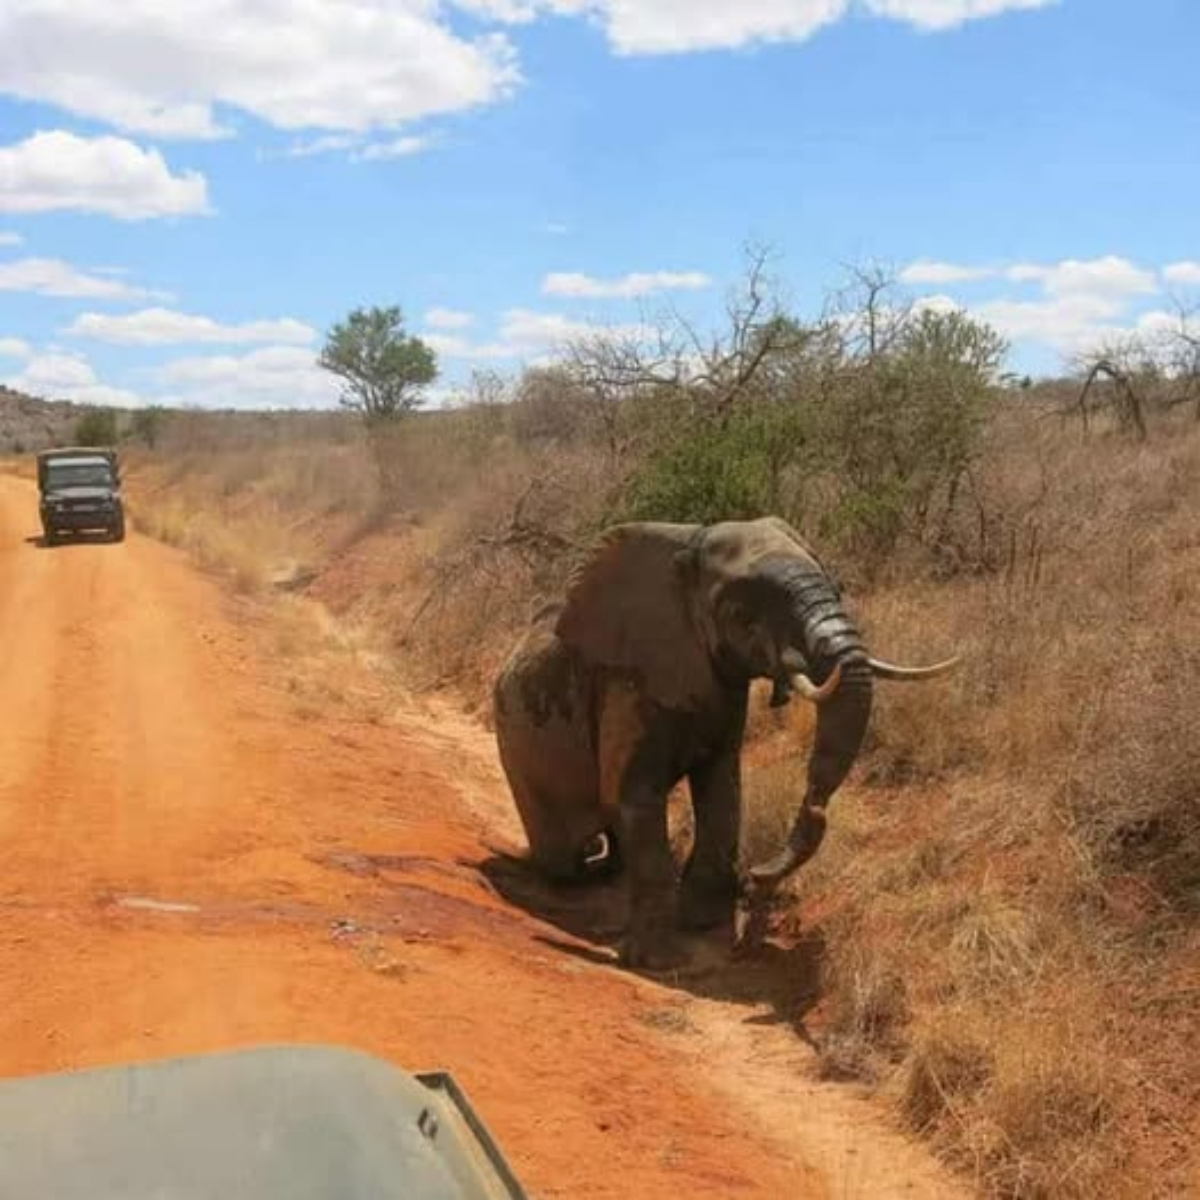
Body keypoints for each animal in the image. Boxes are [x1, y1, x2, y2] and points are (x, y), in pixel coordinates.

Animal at [491, 517, 958, 969]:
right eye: (742, 612)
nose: (755, 881)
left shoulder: (723, 686)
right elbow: (632, 795)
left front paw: (701, 921)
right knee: (563, 859)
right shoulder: (629, 684)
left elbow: (722, 787)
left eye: (836, 588)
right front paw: (657, 961)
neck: (690, 542)